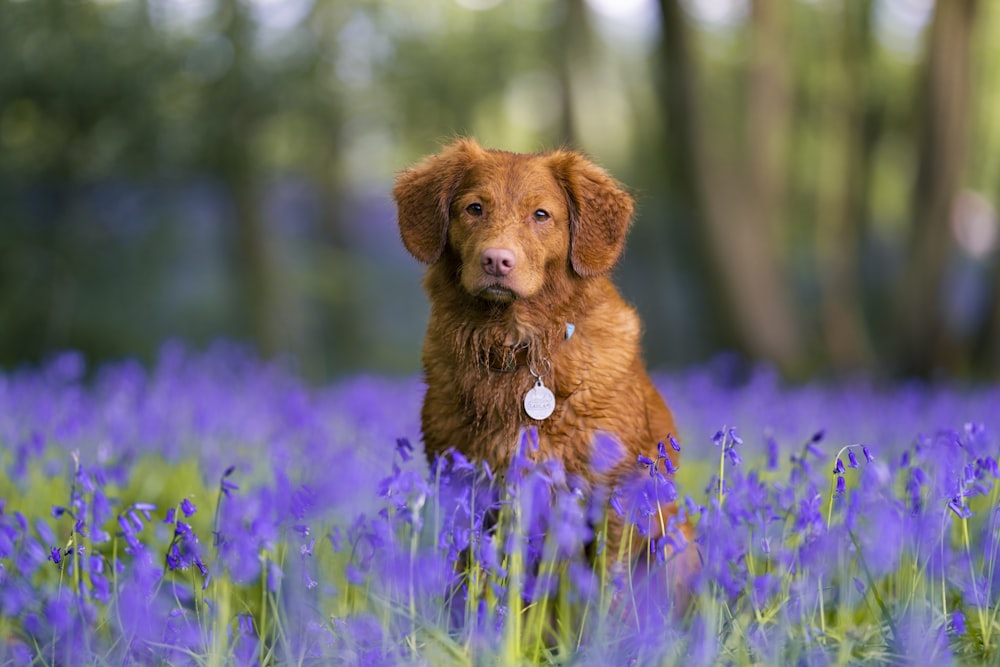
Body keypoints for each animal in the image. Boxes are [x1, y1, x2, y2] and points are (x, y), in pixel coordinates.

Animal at [392, 138, 696, 608]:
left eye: (541, 215)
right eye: (474, 208)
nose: (497, 260)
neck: (515, 347)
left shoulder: (612, 497)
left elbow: (609, 594)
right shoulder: (466, 488)